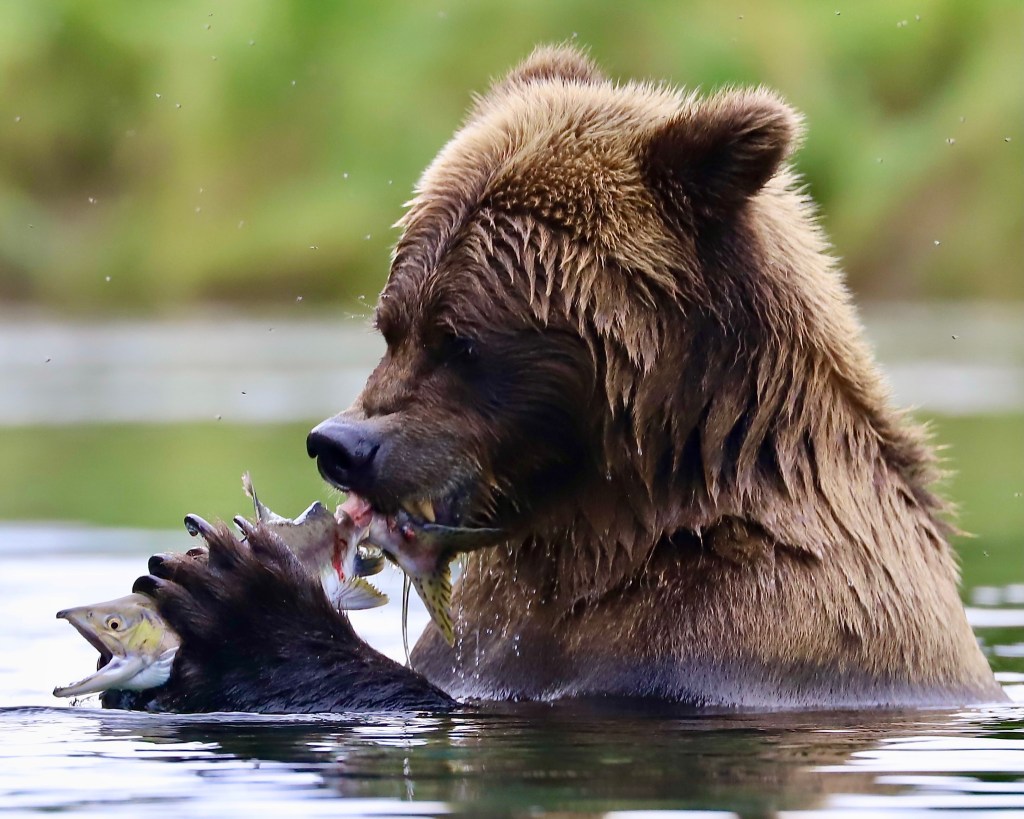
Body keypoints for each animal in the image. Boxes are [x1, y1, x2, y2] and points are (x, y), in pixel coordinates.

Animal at [137, 45, 1003, 711]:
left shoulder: (752, 629)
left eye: (461, 340)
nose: (341, 444)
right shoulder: (502, 628)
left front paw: (239, 601)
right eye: (391, 326)